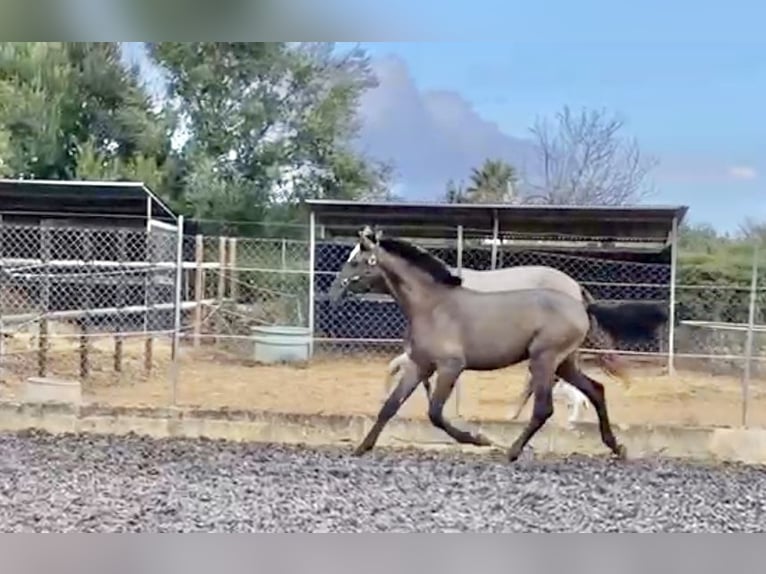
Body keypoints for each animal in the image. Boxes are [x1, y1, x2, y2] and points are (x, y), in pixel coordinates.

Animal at [344, 225, 668, 464]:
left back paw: (511, 452)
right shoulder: (420, 364)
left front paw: (478, 439)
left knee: (544, 408)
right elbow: (390, 406)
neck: (432, 306)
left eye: (357, 261)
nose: (338, 288)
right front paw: (362, 448)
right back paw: (617, 447)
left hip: (544, 358)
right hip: (564, 362)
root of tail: (581, 303)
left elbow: (435, 413)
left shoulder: (451, 366)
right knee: (596, 391)